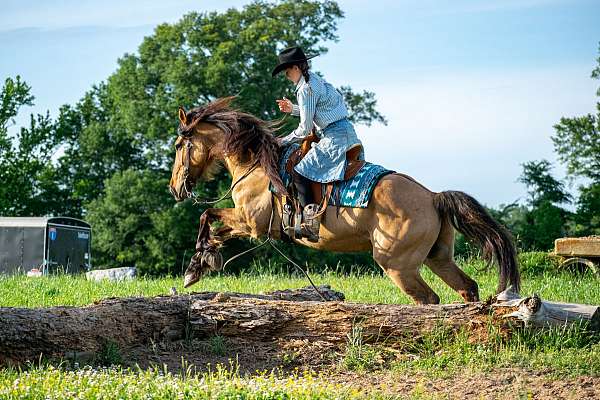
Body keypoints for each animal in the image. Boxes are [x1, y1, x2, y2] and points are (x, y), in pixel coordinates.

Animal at [170, 98, 520, 304]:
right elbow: (213, 224)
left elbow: (207, 216)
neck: (255, 163)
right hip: (438, 257)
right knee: (467, 287)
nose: (175, 188)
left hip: (399, 266)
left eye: (177, 145)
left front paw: (196, 266)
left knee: (429, 300)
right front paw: (202, 261)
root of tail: (433, 197)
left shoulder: (251, 222)